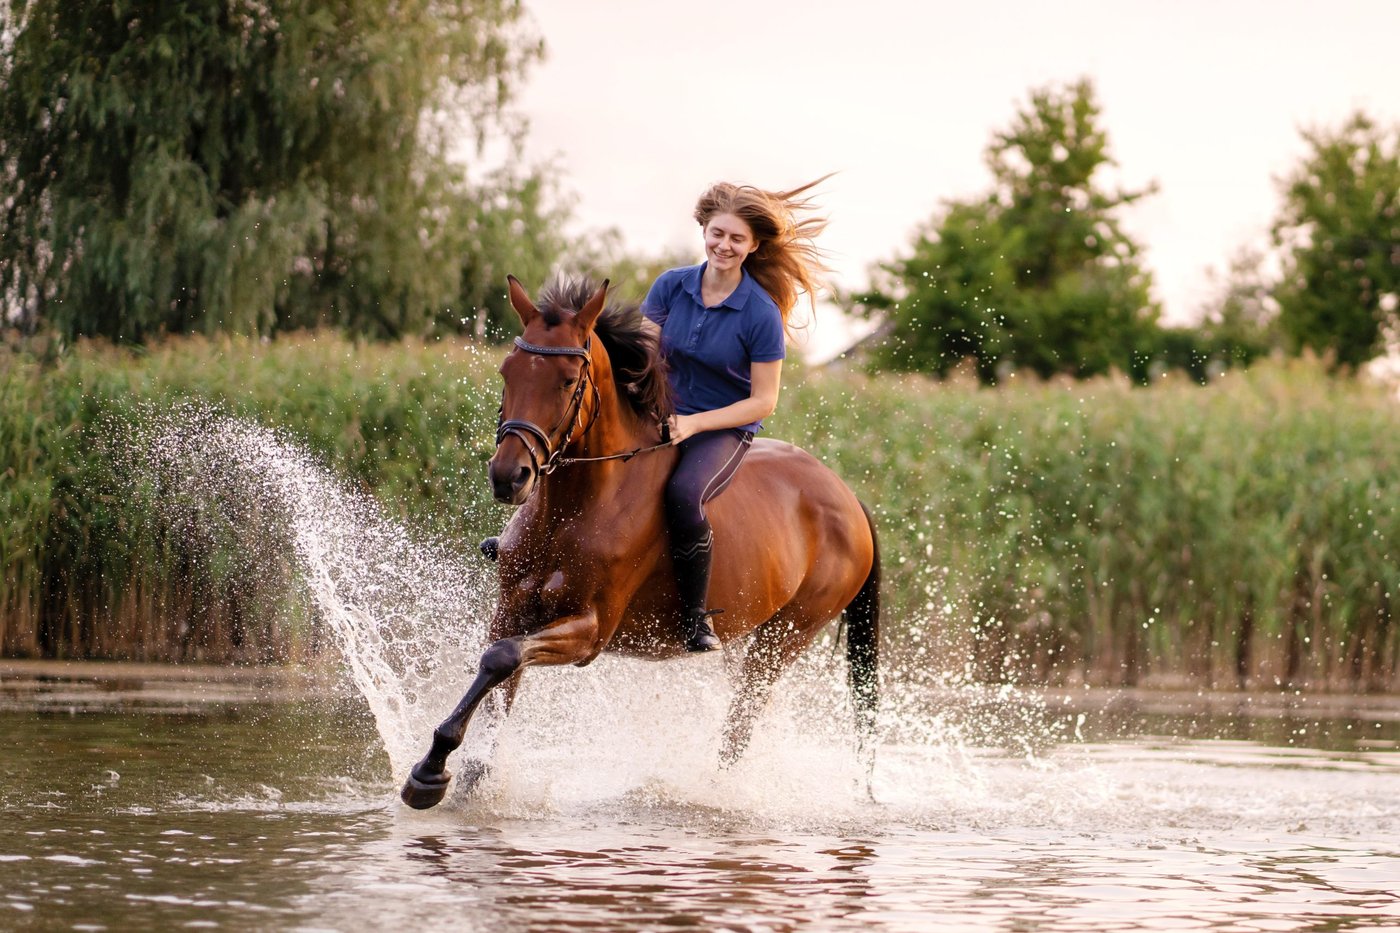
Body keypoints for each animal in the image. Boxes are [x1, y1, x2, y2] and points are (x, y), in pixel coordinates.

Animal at [401, 275, 880, 809]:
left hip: (787, 637)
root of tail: (850, 500)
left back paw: (716, 792)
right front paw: (459, 778)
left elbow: (501, 658)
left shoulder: (590, 630)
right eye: (509, 371)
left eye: (568, 380)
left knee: (742, 721)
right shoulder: (513, 608)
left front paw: (430, 772)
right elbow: (495, 676)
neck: (577, 507)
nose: (509, 477)